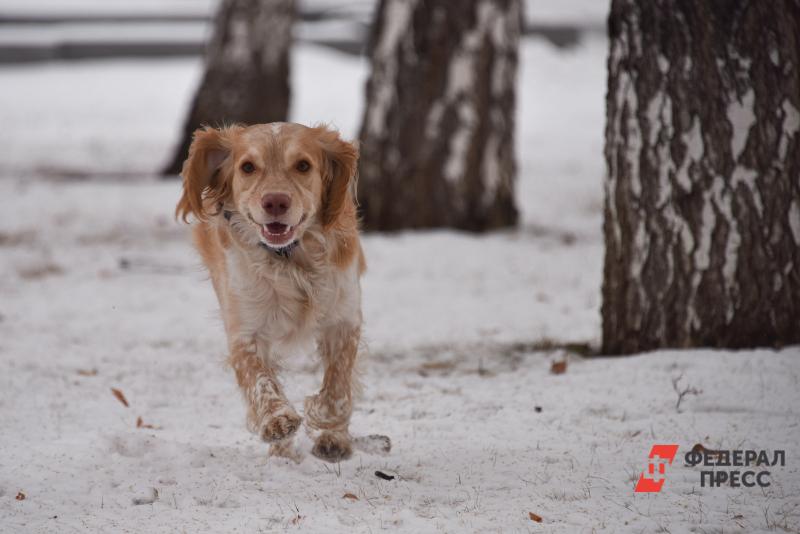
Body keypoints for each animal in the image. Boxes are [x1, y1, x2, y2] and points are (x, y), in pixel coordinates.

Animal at [177, 122, 364, 464]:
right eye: (248, 167)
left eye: (303, 165)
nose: (275, 202)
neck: (289, 258)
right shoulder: (244, 331)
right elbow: (259, 380)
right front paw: (277, 420)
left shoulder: (344, 319)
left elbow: (338, 387)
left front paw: (326, 423)